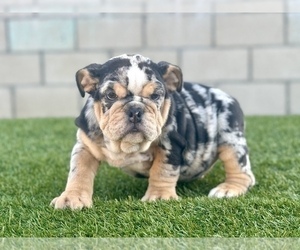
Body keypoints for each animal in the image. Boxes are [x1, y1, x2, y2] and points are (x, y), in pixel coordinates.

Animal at [50, 54, 254, 209]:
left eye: (155, 96)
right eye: (110, 95)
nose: (135, 110)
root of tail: (228, 96)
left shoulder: (170, 145)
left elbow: (162, 170)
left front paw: (159, 196)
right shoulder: (85, 146)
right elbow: (79, 171)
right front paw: (71, 197)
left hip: (231, 139)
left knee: (240, 170)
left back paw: (228, 189)